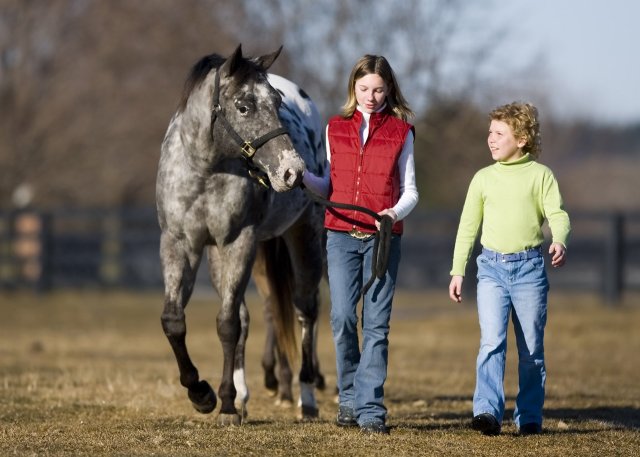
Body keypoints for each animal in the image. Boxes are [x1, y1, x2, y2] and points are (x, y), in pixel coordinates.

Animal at [156, 46, 324, 424]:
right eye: (244, 106)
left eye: (277, 103)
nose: (293, 171)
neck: (205, 169)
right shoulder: (179, 243)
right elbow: (175, 320)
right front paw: (201, 394)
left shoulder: (239, 241)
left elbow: (228, 323)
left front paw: (227, 404)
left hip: (305, 234)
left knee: (306, 310)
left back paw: (307, 398)